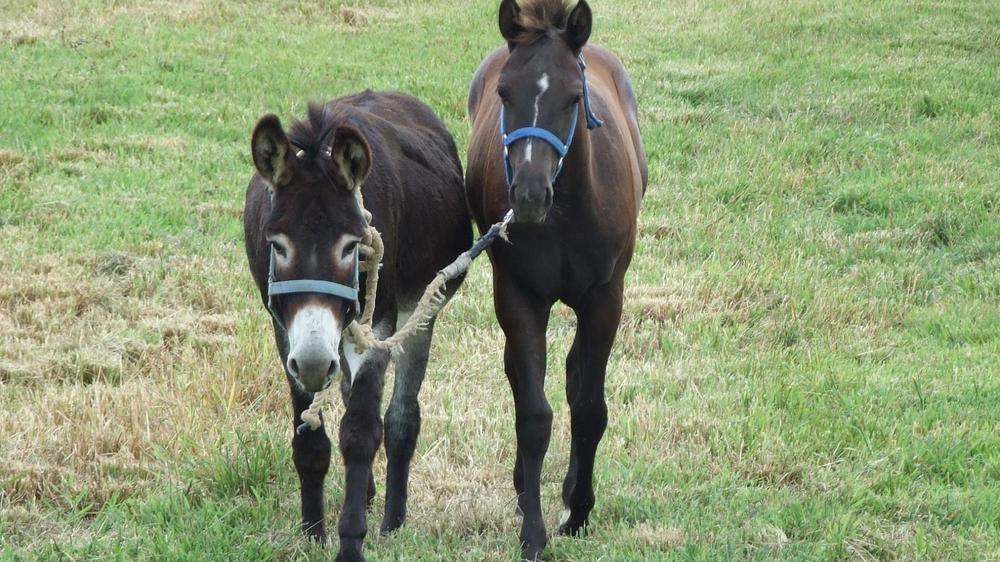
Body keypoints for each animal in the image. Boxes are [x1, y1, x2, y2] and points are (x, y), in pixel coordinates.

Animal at [244, 93, 474, 560]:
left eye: (352, 247)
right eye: (278, 246)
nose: (316, 363)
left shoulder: (379, 327)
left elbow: (361, 432)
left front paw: (350, 542)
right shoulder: (286, 336)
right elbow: (310, 437)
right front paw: (312, 534)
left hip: (420, 310)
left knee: (400, 419)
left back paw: (391, 522)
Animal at [462, 0, 644, 556]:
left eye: (572, 97)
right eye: (504, 92)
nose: (528, 195)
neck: (566, 213)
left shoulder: (605, 298)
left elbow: (589, 409)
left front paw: (578, 511)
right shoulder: (519, 297)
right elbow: (533, 415)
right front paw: (533, 532)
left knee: (573, 374)